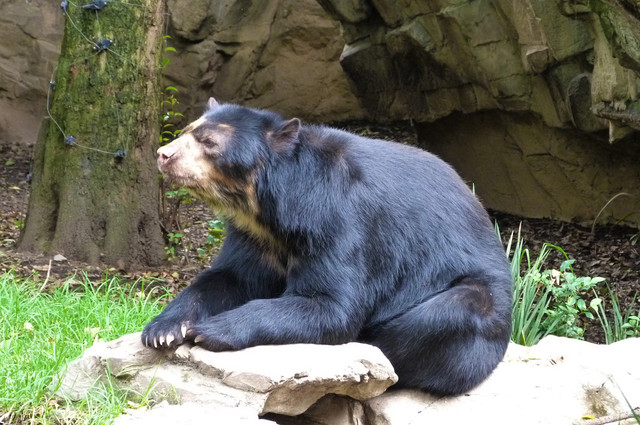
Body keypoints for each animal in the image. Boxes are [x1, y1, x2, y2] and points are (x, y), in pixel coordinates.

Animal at [142, 98, 513, 396]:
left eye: (209, 142)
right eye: (187, 131)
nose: (163, 154)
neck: (268, 210)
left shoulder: (337, 218)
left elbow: (330, 304)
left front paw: (209, 330)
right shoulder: (253, 235)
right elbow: (229, 277)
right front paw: (163, 330)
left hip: (480, 306)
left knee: (443, 316)